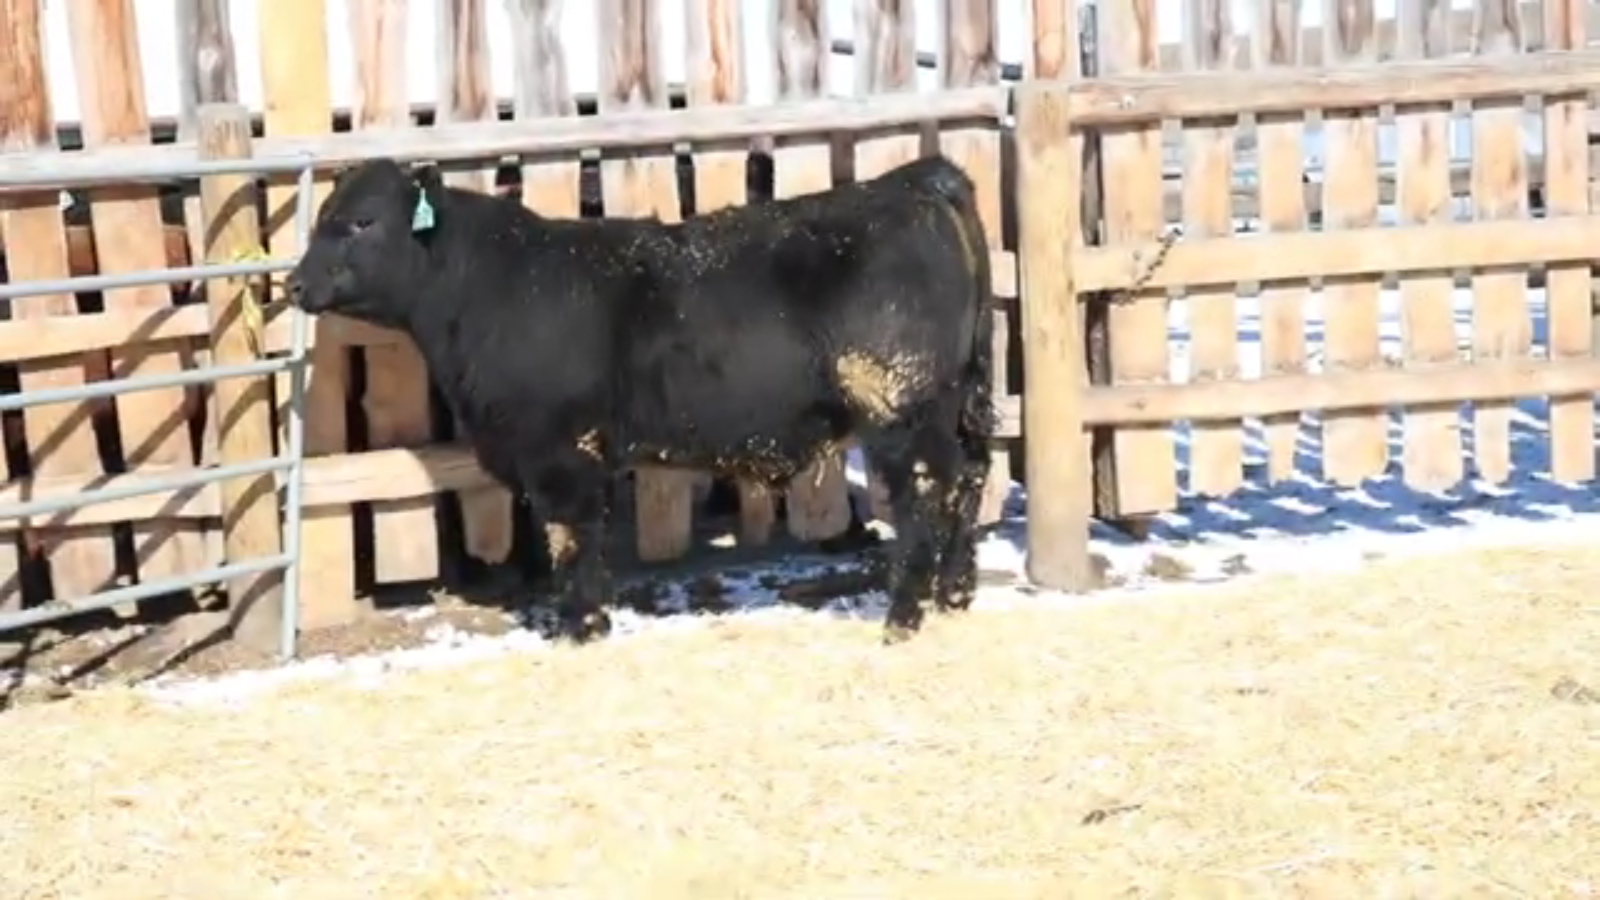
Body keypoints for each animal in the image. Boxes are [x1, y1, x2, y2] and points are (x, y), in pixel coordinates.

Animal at [283, 153, 996, 645]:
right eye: (320, 220)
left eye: (362, 222)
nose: (293, 284)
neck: (493, 285)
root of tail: (916, 181)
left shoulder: (560, 452)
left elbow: (572, 536)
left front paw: (579, 626)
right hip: (958, 403)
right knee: (968, 478)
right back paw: (954, 595)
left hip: (901, 409)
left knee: (925, 495)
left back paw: (904, 615)